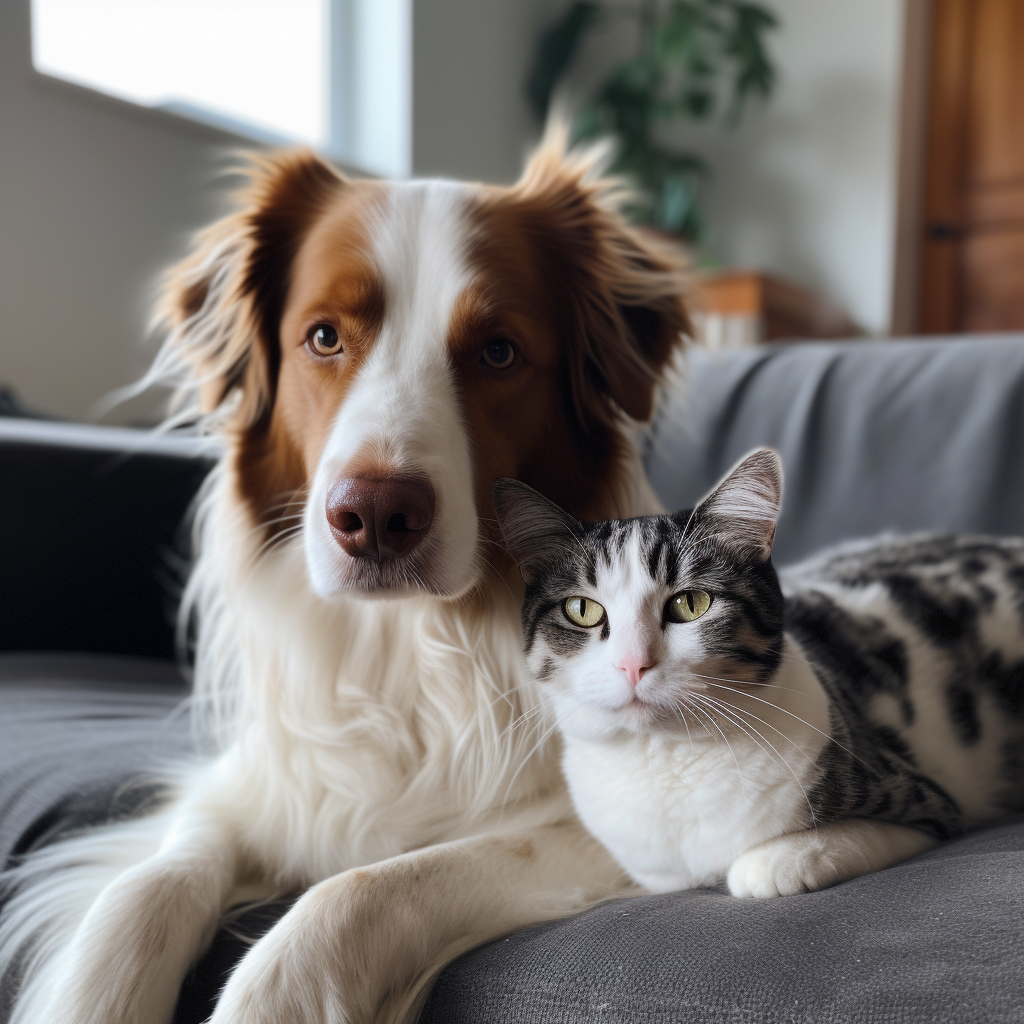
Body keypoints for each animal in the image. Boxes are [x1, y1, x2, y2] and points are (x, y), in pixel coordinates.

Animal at [2, 128, 688, 1024]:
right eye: (324, 337)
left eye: (499, 351)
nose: (376, 514)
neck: (405, 645)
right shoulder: (258, 782)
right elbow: (144, 890)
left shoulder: (605, 826)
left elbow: (356, 889)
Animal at [491, 452, 1024, 901]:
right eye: (581, 610)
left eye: (691, 604)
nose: (633, 663)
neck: (665, 761)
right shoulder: (655, 870)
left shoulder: (926, 803)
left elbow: (809, 849)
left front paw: (774, 862)